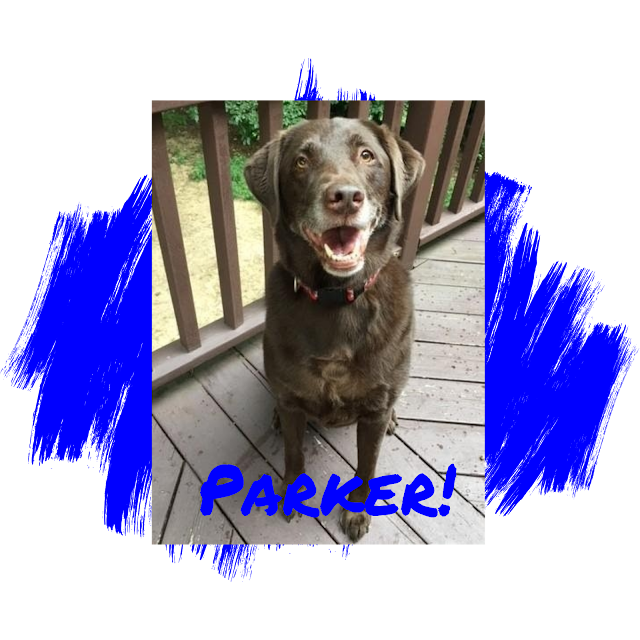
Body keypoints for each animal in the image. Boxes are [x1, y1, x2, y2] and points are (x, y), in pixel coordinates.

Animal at [244, 117, 424, 541]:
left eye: (367, 155)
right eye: (301, 161)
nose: (344, 197)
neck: (336, 298)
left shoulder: (373, 410)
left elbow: (367, 465)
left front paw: (357, 511)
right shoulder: (293, 400)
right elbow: (294, 453)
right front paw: (292, 492)